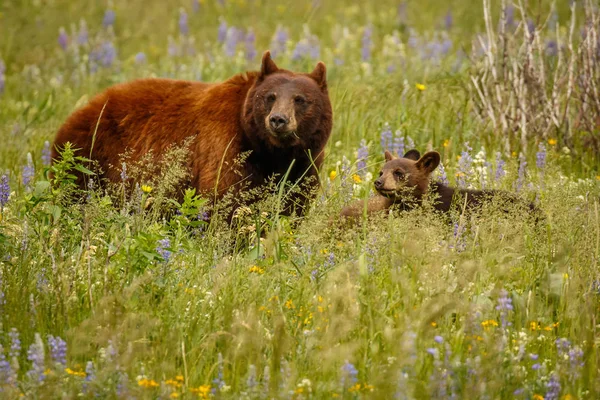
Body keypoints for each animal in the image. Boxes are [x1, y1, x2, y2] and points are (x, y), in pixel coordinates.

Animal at [51, 51, 332, 217]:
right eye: (270, 97)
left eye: (300, 99)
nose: (278, 119)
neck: (271, 152)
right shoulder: (226, 146)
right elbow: (225, 201)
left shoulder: (304, 164)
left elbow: (292, 207)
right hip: (91, 159)